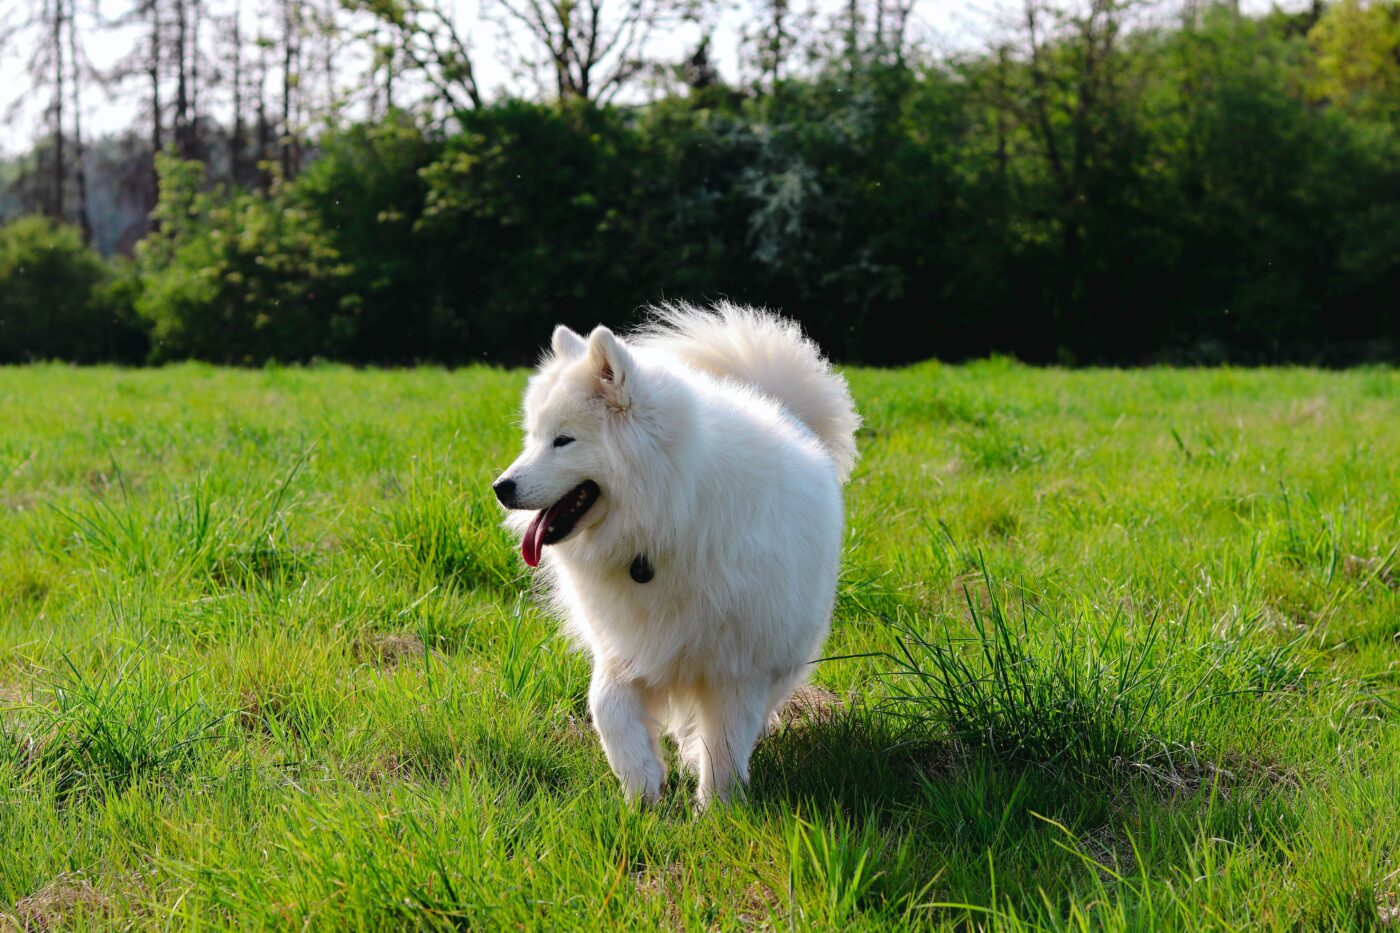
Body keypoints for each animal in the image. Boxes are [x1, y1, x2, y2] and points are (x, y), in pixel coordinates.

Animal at [498, 299, 856, 806]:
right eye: (533, 438)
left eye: (563, 440)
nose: (501, 488)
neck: (663, 523)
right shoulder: (625, 647)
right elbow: (606, 706)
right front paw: (641, 786)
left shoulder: (736, 667)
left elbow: (724, 744)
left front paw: (717, 810)